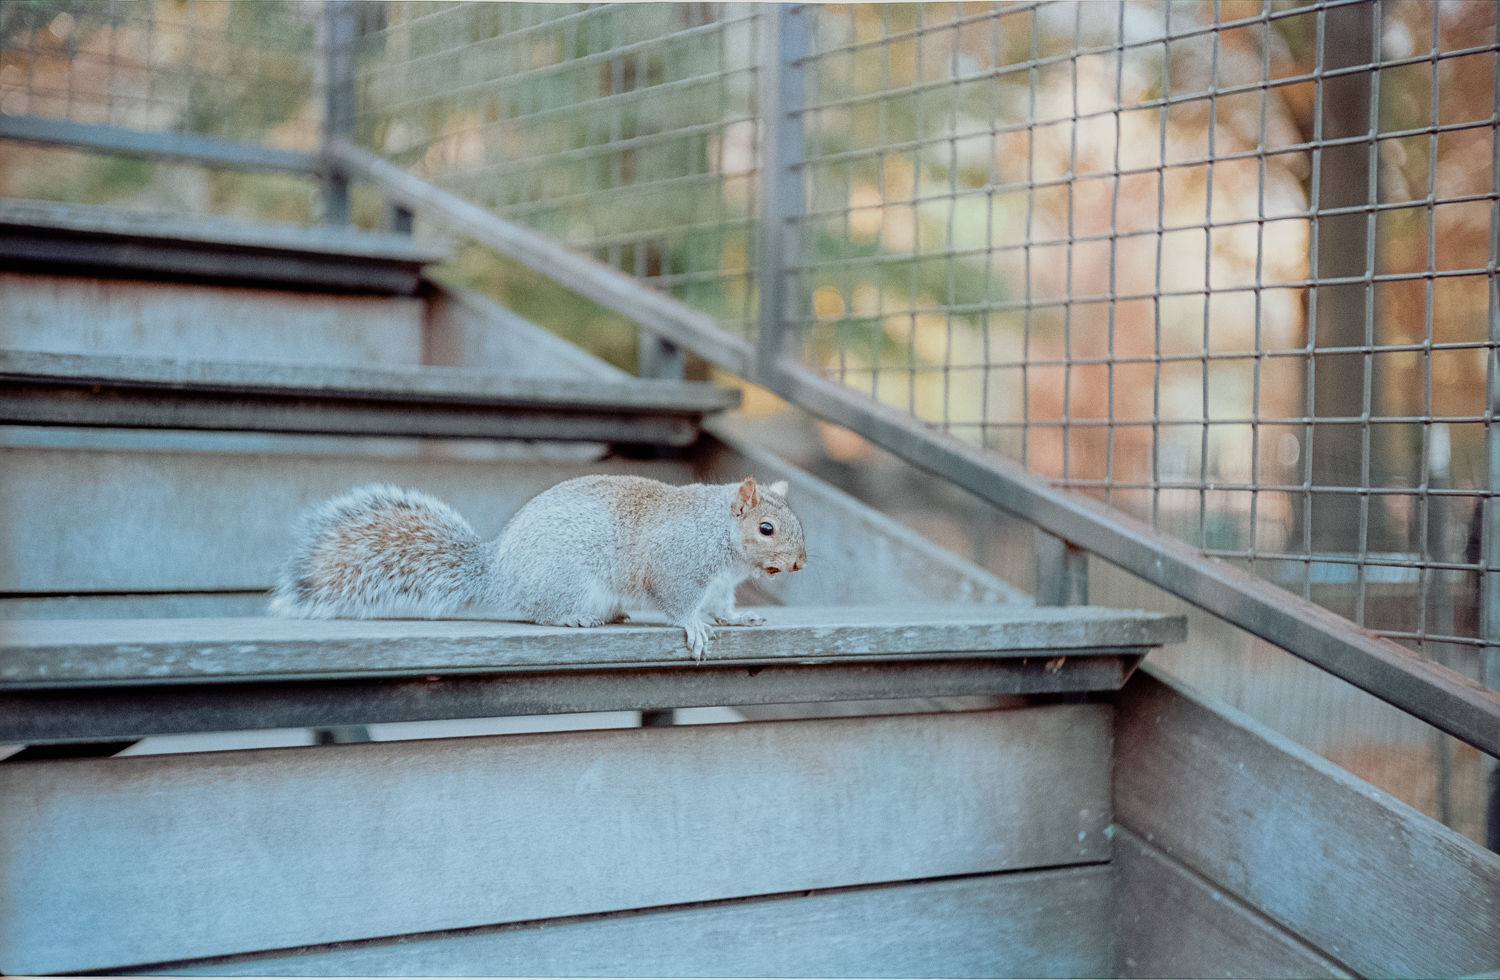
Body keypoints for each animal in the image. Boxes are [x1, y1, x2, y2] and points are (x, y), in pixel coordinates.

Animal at [270, 471, 810, 657]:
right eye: (766, 528)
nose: (800, 564)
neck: (717, 535)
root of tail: (498, 574)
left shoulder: (718, 584)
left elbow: (722, 606)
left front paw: (740, 618)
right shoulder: (677, 565)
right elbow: (678, 604)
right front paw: (694, 627)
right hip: (567, 583)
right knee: (542, 612)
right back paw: (577, 618)